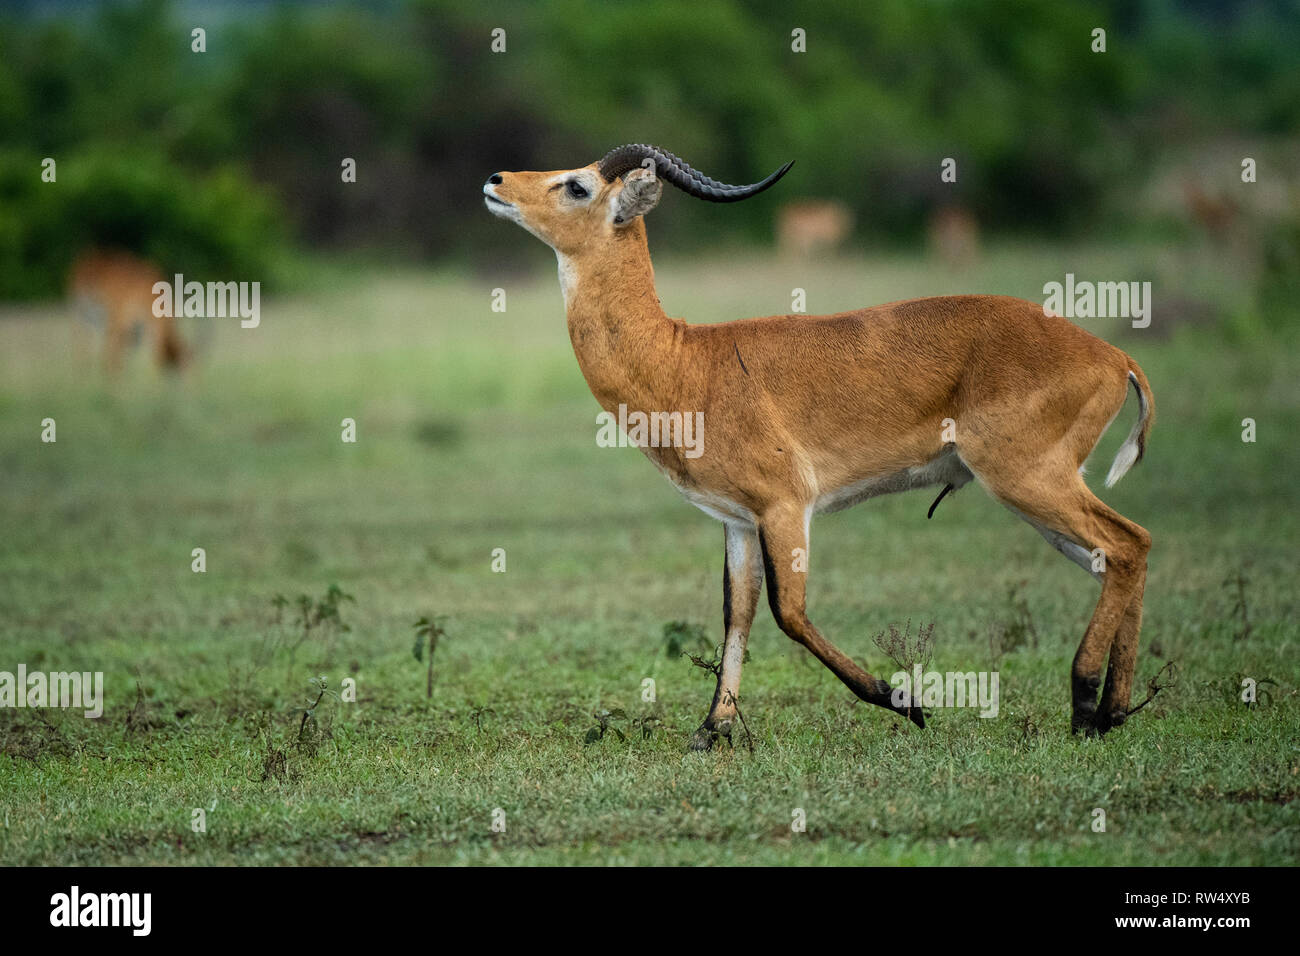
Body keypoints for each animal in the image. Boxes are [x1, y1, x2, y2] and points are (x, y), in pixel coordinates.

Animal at [483, 147, 1154, 749]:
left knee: (1125, 544)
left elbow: (790, 612)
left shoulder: (785, 506)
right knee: (1126, 551)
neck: (684, 362)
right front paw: (711, 730)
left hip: (1027, 478)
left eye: (577, 186)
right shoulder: (737, 520)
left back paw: (1084, 707)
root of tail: (1114, 355)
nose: (495, 179)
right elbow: (737, 614)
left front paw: (906, 702)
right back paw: (1112, 713)